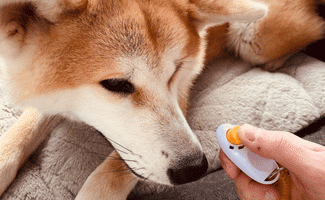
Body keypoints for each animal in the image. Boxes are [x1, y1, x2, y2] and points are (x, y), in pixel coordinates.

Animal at [0, 0, 322, 199]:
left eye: (175, 71)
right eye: (116, 84)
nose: (194, 169)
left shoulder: (181, 92)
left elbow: (110, 176)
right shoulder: (45, 89)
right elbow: (19, 136)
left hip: (255, 36)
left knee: (314, 27)